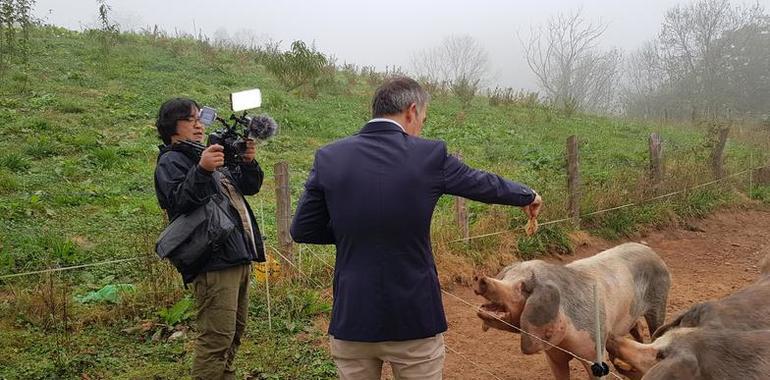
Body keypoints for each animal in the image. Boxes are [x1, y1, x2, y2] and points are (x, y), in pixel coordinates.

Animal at [472, 243, 668, 380]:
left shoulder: (595, 350)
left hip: (660, 301)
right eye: (506, 277)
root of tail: (650, 251)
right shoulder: (553, 353)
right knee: (637, 328)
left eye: (523, 287)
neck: (567, 342)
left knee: (654, 329)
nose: (481, 278)